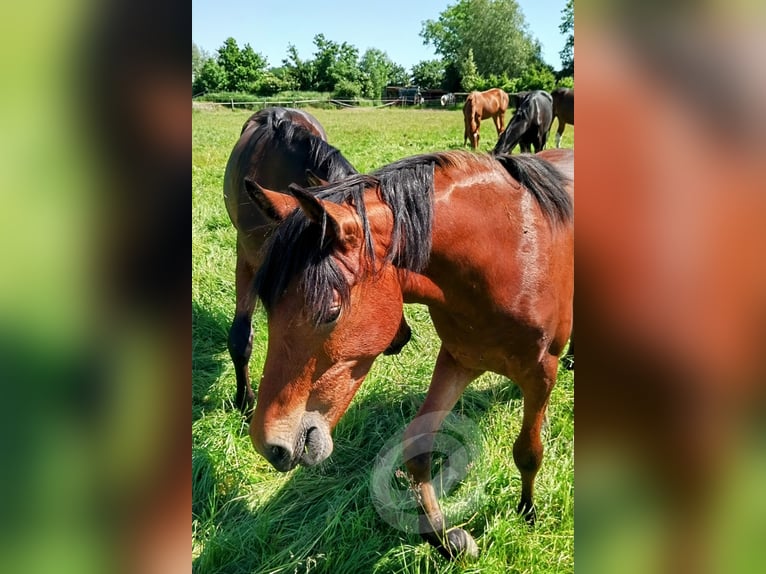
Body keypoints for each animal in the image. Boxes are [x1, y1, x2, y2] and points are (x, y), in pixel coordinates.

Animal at [243, 148, 572, 564]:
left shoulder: (541, 372)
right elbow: (417, 447)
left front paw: (527, 513)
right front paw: (447, 539)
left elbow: (528, 452)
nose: (270, 445)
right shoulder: (460, 359)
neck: (510, 255)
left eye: (330, 311)